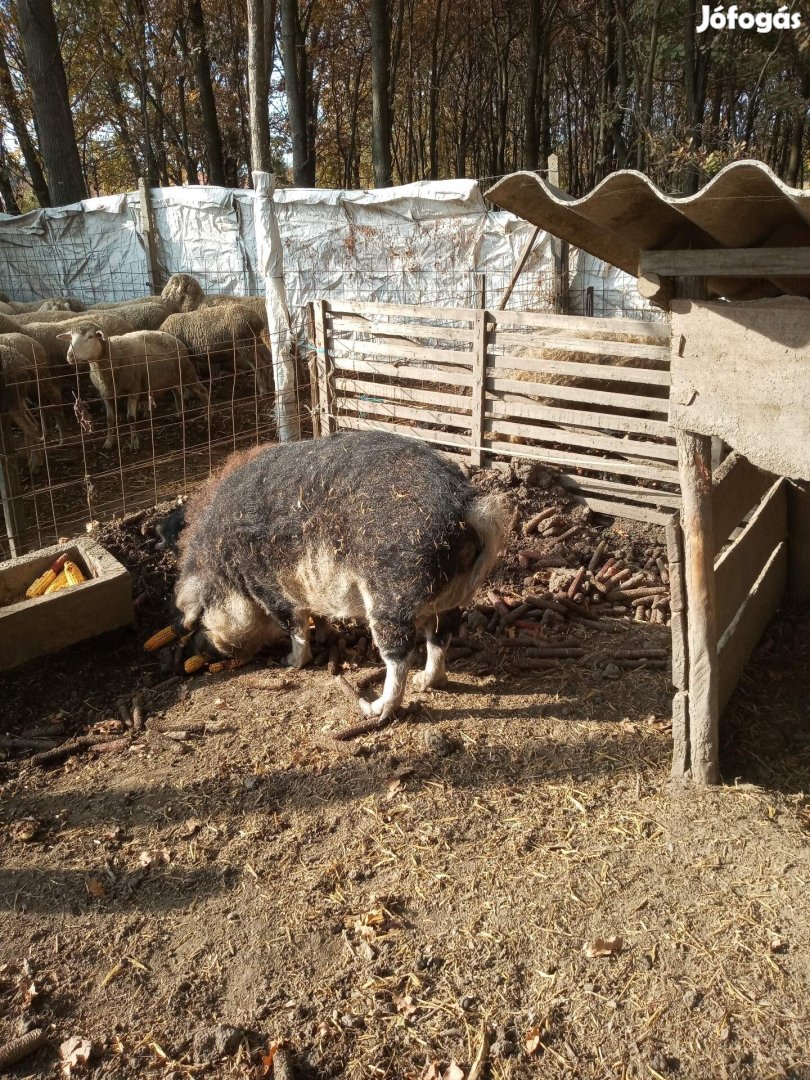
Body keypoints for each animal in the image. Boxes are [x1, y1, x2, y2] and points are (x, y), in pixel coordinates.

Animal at [57, 321, 209, 453]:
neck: (112, 358)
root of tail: (173, 337)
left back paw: (208, 417)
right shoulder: (106, 394)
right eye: (71, 337)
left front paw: (134, 444)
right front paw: (108, 442)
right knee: (177, 392)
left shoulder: (133, 390)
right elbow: (110, 420)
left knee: (203, 392)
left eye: (90, 336)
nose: (70, 356)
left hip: (187, 370)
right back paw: (180, 414)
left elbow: (131, 418)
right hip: (170, 377)